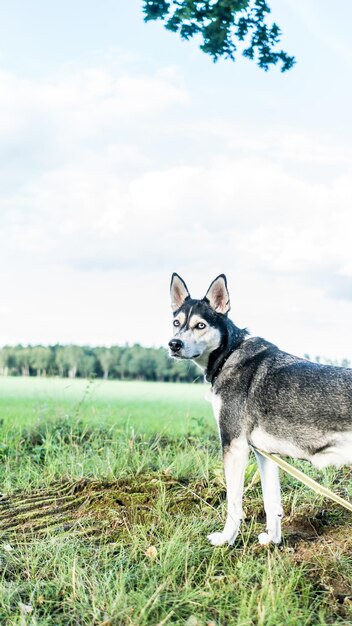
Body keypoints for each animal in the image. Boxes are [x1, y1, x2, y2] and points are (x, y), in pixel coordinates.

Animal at [168, 270, 352, 544]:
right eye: (176, 322)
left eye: (200, 325)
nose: (174, 344)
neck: (228, 354)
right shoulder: (264, 453)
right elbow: (271, 502)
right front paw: (273, 541)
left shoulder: (234, 445)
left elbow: (233, 503)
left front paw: (226, 540)